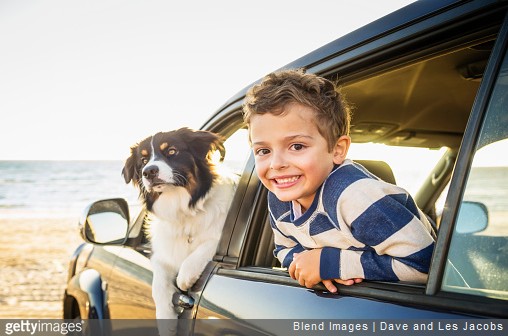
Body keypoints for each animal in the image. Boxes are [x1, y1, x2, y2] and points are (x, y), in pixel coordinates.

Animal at [122, 127, 237, 324]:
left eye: (171, 151)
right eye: (143, 161)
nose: (148, 171)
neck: (183, 210)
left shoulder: (217, 239)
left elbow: (200, 251)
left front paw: (184, 278)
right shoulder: (162, 254)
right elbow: (158, 284)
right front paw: (165, 319)